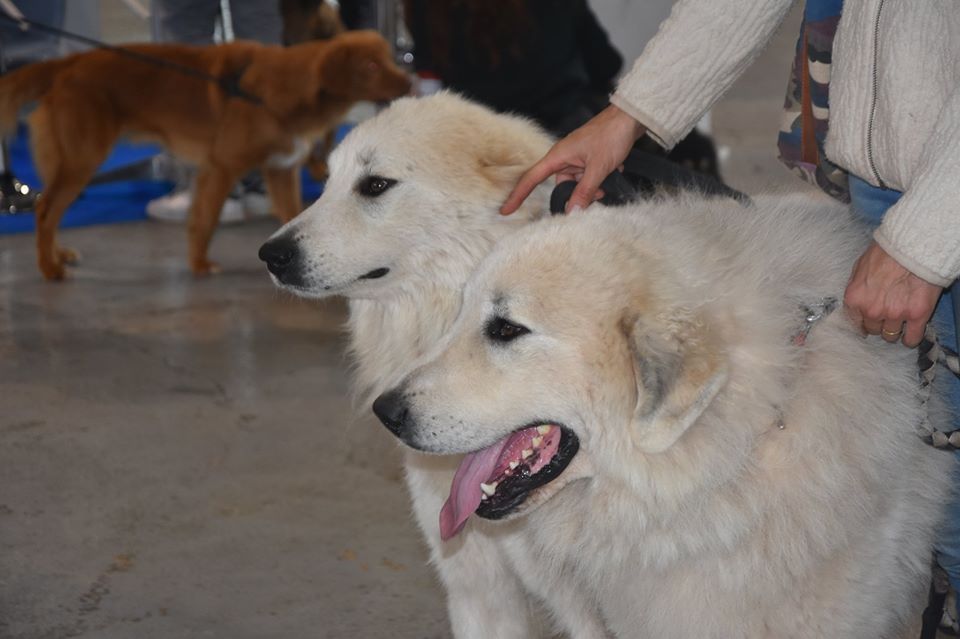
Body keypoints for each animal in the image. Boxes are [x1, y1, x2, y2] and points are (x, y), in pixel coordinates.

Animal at [0, 30, 408, 280]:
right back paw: (49, 268)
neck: (284, 91)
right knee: (45, 209)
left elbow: (294, 215)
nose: (409, 82)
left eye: (390, 58)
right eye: (371, 66)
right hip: (83, 158)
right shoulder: (221, 167)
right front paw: (199, 264)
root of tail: (71, 62)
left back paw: (58, 255)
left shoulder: (280, 171)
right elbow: (205, 219)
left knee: (51, 212)